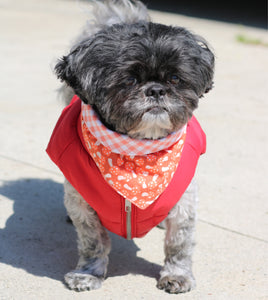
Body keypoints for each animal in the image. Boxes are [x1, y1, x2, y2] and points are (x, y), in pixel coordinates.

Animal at [45, 0, 214, 296]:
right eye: (130, 80)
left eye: (174, 79)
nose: (156, 90)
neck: (137, 153)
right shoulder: (84, 208)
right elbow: (92, 242)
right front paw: (88, 274)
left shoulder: (184, 203)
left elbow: (179, 245)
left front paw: (177, 275)